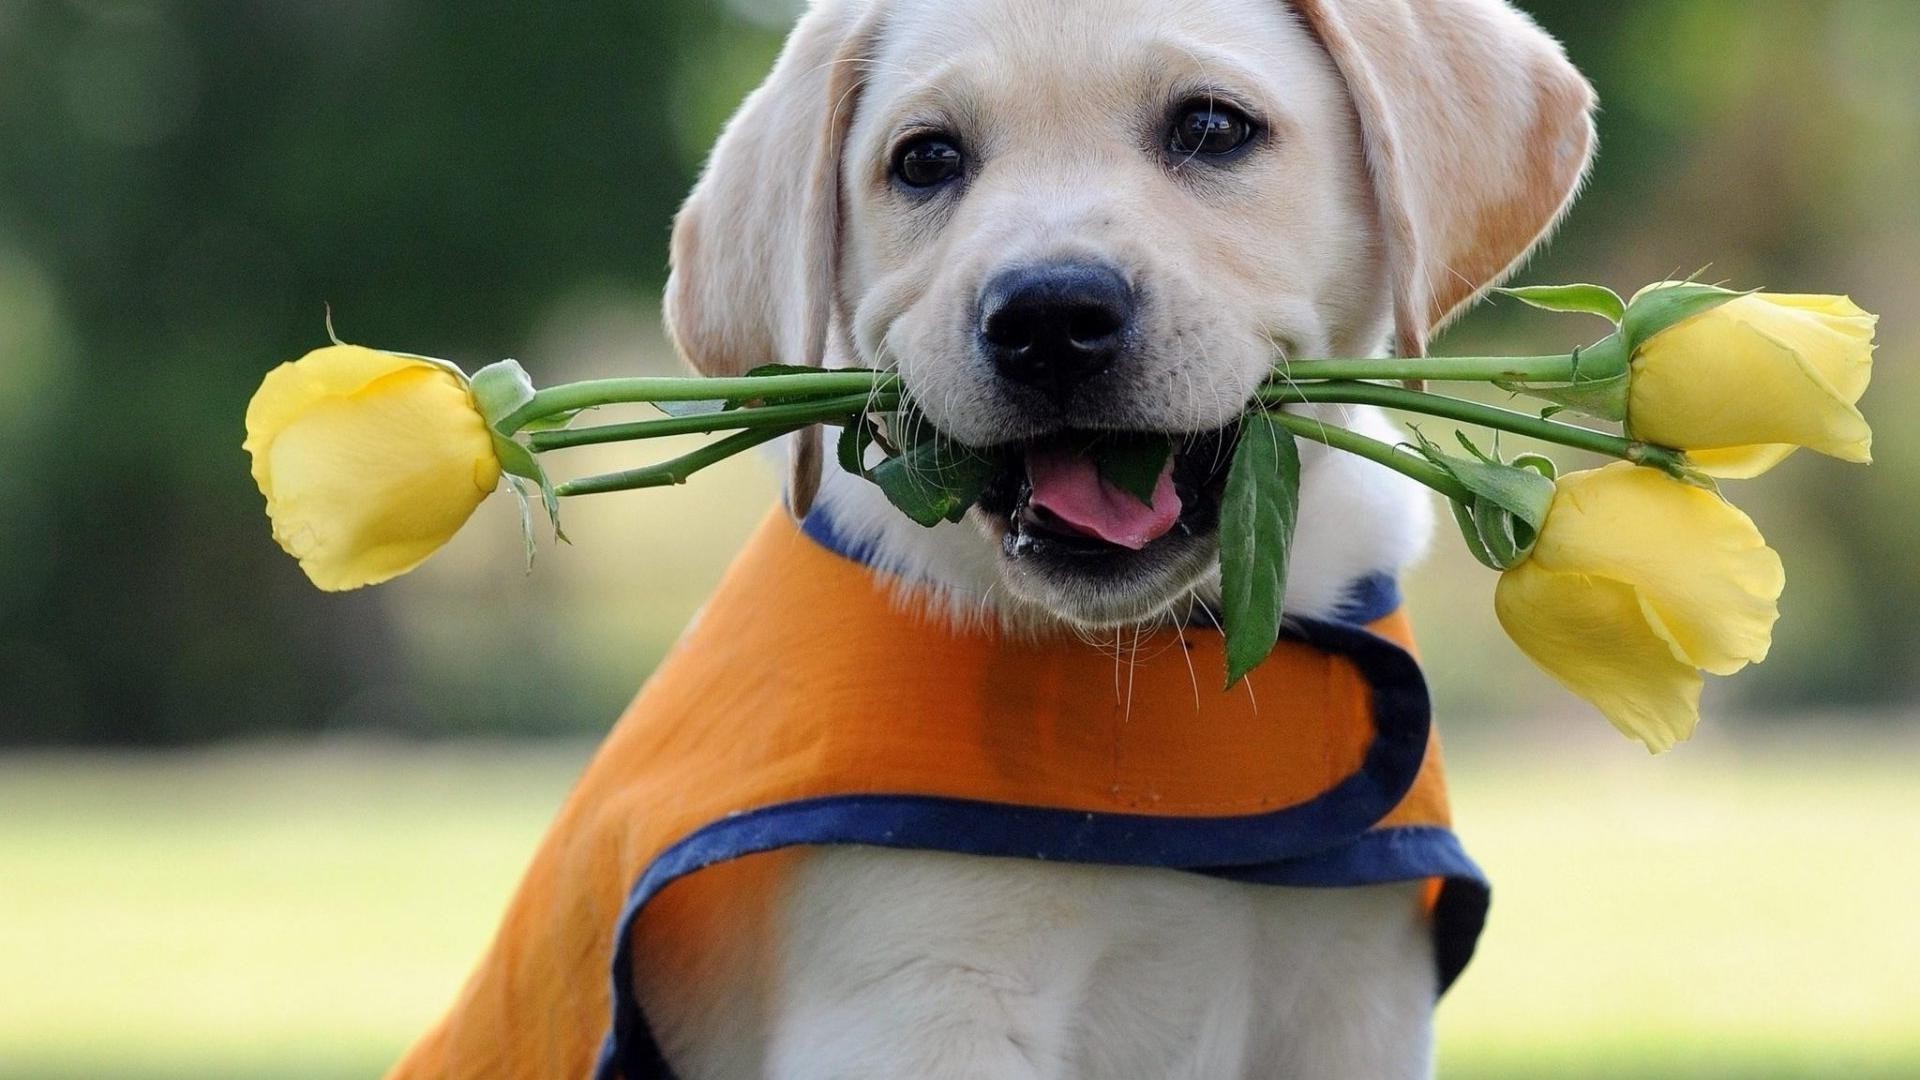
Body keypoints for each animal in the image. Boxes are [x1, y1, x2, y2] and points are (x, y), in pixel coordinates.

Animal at [385, 2, 1589, 1076]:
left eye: (1212, 128)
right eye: (925, 160)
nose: (1050, 317)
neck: (1147, 666)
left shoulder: (1356, 996)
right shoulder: (917, 1002)